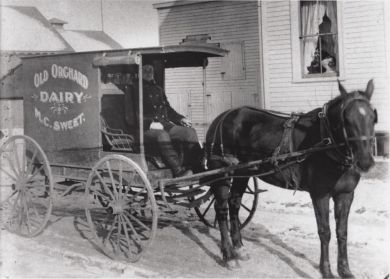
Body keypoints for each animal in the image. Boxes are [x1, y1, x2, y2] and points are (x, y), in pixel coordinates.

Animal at [206, 80, 376, 278]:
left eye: (373, 117)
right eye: (346, 119)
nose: (365, 162)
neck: (326, 142)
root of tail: (222, 117)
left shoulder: (346, 194)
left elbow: (342, 231)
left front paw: (345, 270)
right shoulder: (320, 195)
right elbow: (325, 232)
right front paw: (326, 270)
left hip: (244, 173)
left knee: (234, 204)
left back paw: (239, 248)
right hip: (221, 171)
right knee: (221, 209)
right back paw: (228, 255)